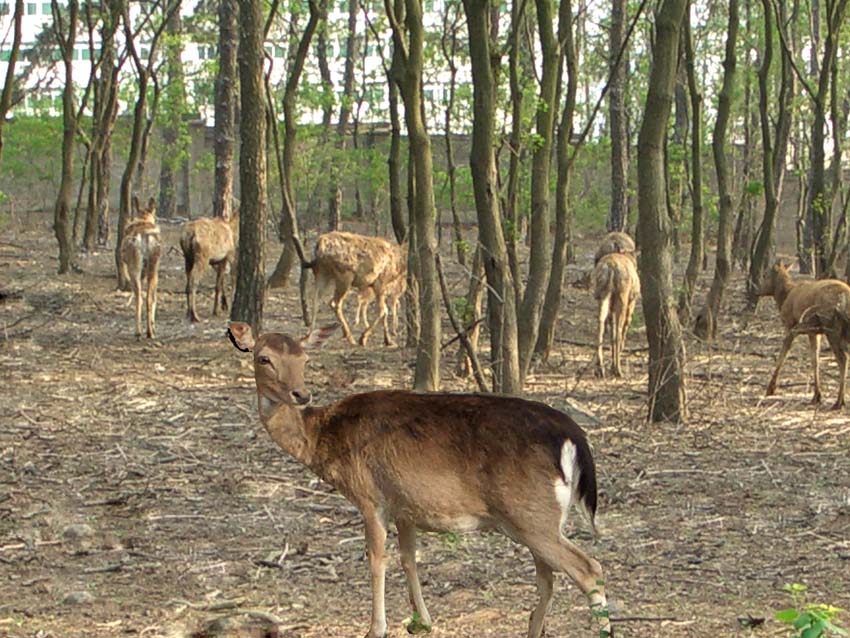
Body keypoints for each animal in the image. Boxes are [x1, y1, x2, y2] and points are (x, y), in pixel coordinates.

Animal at [120, 199, 161, 340]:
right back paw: (150, 332)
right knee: (149, 298)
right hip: (152, 267)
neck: (143, 218)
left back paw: (138, 332)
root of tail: (144, 236)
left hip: (134, 269)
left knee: (139, 298)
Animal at [225, 324, 608, 638]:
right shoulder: (405, 506)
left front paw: (375, 628)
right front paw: (422, 621)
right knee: (548, 577)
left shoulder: (370, 496)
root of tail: (574, 438)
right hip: (532, 518)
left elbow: (376, 560)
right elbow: (409, 557)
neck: (324, 439)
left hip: (531, 513)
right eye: (264, 358)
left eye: (304, 357)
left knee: (588, 568)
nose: (300, 394)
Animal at [756, 260, 848, 410]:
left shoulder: (790, 325)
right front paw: (816, 395)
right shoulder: (814, 332)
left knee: (843, 358)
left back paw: (839, 402)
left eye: (765, 274)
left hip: (832, 328)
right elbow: (815, 360)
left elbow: (783, 353)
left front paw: (770, 388)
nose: (757, 290)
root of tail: (845, 298)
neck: (783, 297)